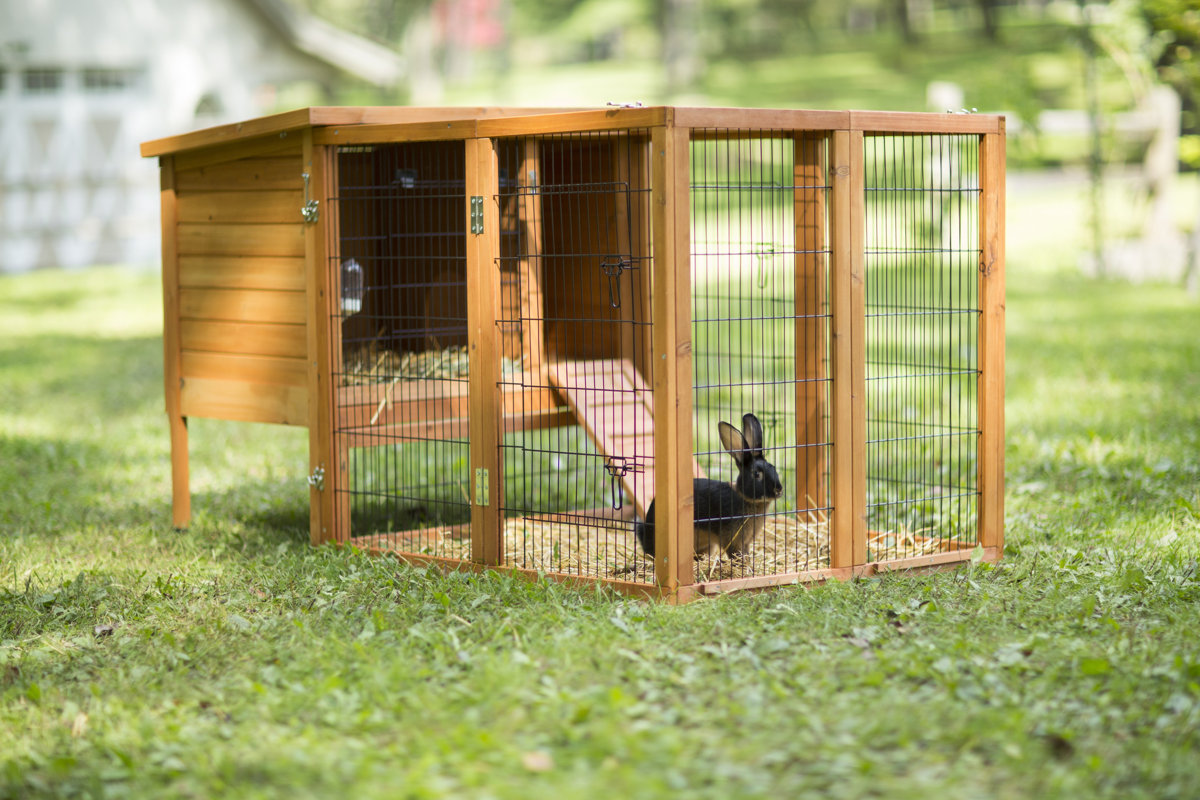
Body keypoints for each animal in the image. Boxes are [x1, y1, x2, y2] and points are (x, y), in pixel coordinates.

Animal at [635, 412, 782, 562]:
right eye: (756, 474)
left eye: (773, 468)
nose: (779, 490)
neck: (745, 497)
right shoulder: (733, 540)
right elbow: (736, 554)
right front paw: (741, 564)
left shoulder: (745, 542)